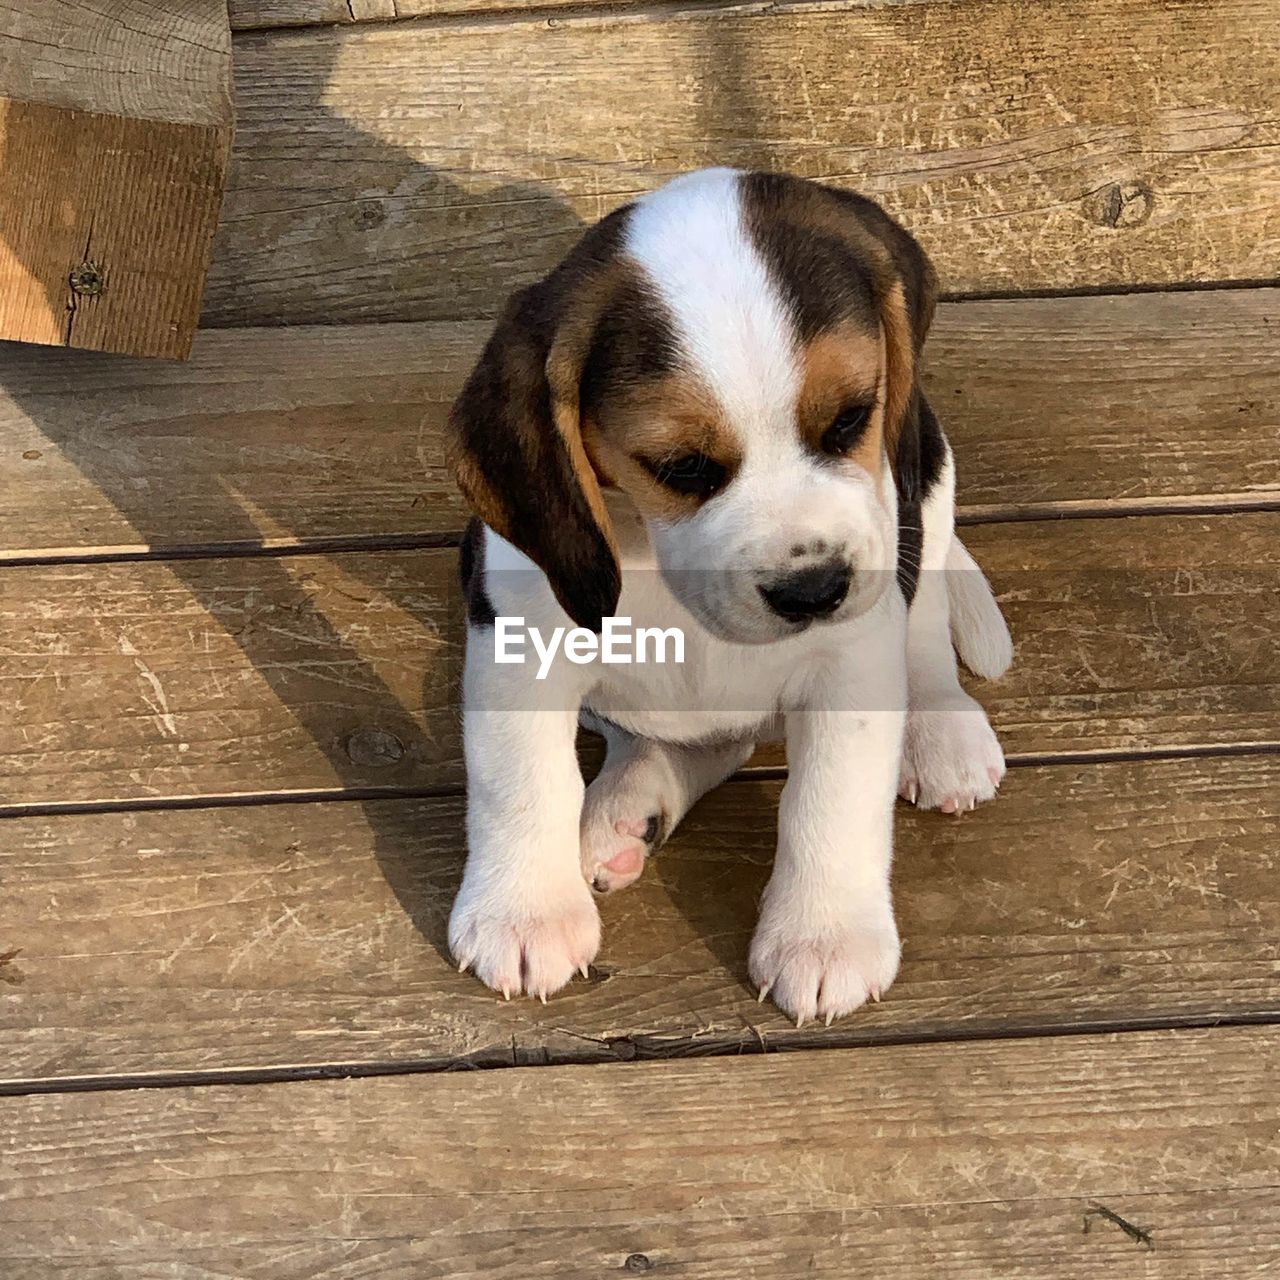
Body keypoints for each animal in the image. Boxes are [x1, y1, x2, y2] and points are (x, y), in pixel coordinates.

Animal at [448, 172, 1008, 1029]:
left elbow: (830, 799)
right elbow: (520, 776)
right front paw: (524, 913)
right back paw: (628, 805)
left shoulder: (851, 657)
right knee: (697, 742)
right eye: (681, 467)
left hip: (926, 474)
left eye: (850, 418)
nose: (815, 589)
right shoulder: (517, 639)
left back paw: (941, 731)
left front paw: (825, 937)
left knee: (921, 627)